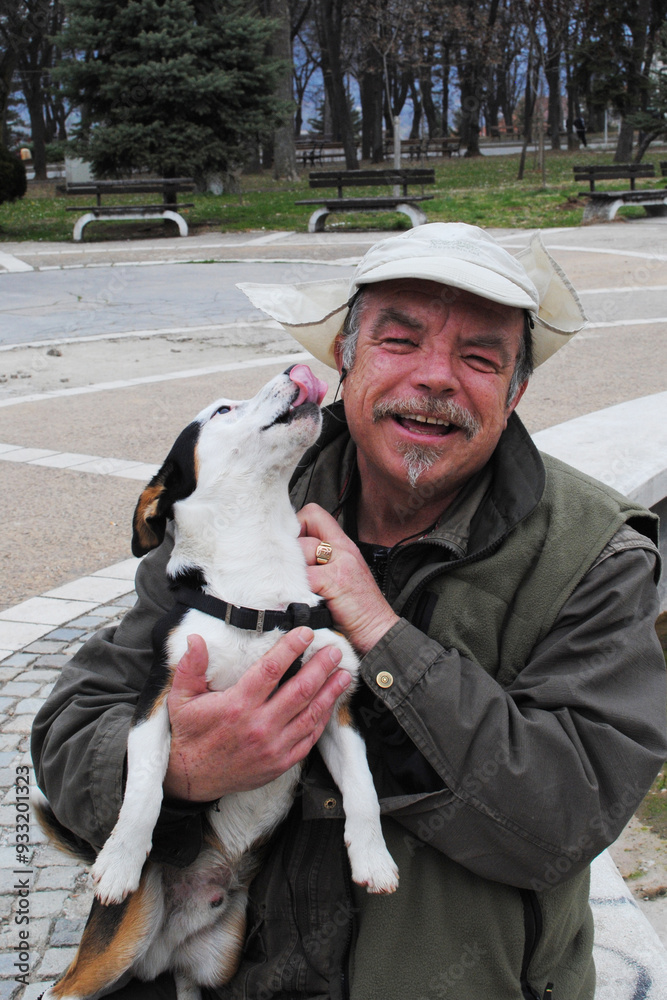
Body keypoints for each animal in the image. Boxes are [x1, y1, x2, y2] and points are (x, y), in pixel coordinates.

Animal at [36, 366, 400, 1000]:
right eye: (223, 409)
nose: (296, 369)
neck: (259, 595)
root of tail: (166, 944)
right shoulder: (158, 700)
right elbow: (145, 786)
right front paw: (122, 858)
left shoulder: (334, 706)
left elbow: (362, 787)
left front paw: (373, 858)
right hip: (115, 945)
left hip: (216, 961)